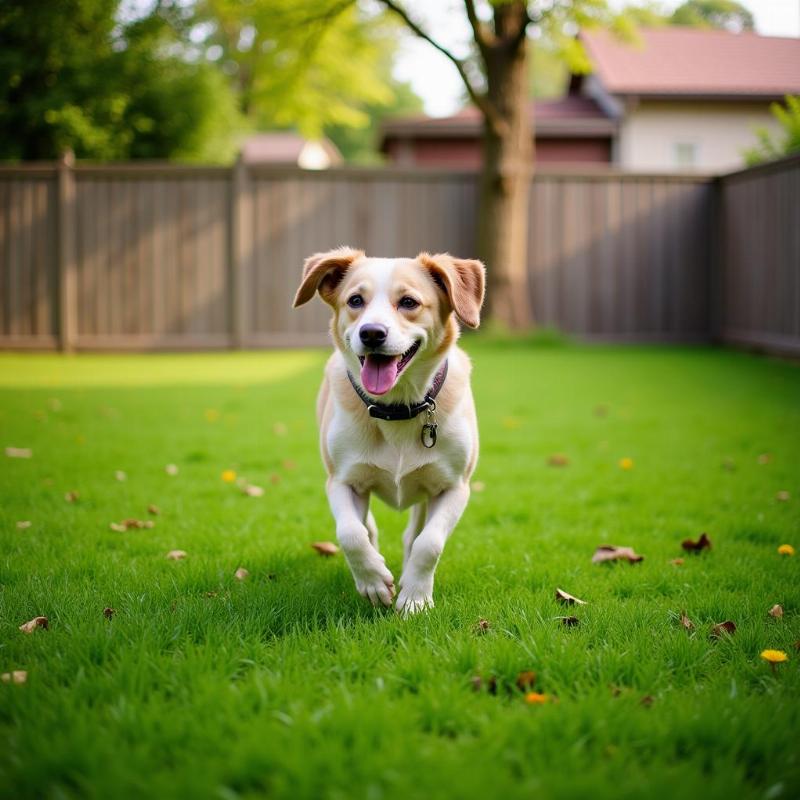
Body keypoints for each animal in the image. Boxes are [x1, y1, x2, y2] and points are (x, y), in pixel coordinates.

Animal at [292, 247, 484, 616]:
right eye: (355, 300)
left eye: (409, 302)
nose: (371, 333)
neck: (397, 408)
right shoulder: (341, 480)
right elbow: (351, 534)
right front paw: (374, 581)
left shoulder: (455, 486)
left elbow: (428, 543)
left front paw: (416, 597)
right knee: (366, 527)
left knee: (414, 534)